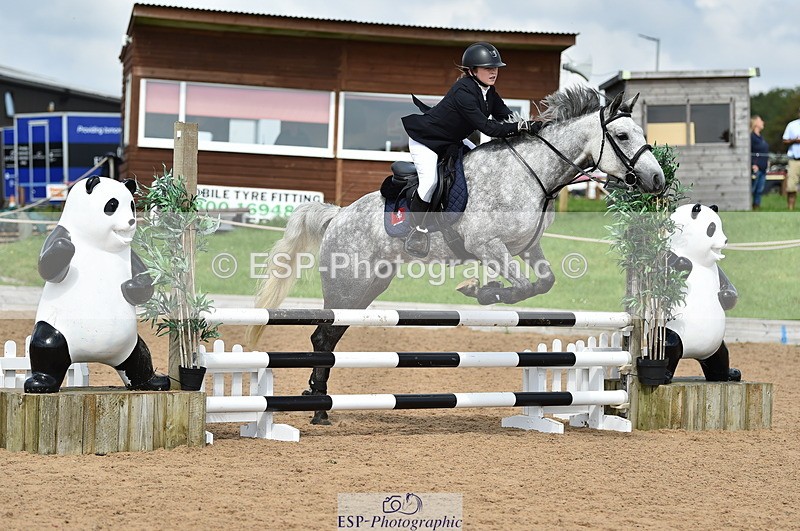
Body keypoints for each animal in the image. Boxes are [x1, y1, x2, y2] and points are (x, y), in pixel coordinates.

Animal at [245, 86, 665, 424]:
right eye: (622, 135)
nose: (657, 181)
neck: (532, 174)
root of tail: (337, 216)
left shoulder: (527, 248)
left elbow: (543, 282)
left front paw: (487, 290)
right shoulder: (487, 246)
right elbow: (522, 286)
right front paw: (483, 291)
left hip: (366, 288)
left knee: (328, 339)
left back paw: (316, 401)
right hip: (348, 287)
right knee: (322, 338)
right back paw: (317, 408)